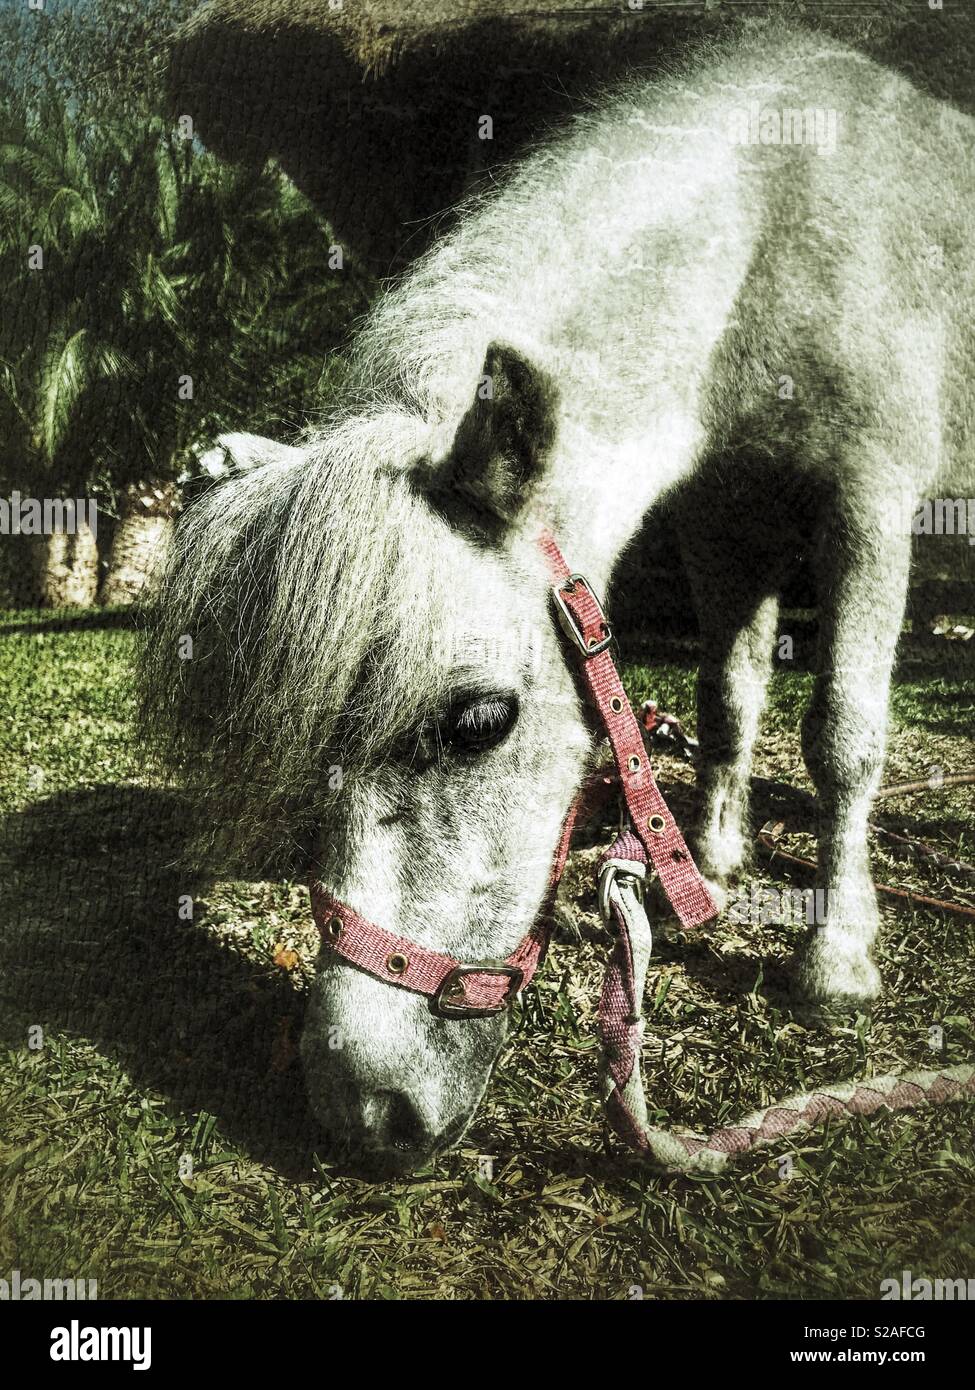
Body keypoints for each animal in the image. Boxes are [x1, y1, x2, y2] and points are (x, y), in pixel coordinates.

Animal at [145, 23, 975, 1177]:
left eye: (478, 721)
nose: (363, 1113)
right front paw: (708, 859)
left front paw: (838, 954)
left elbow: (841, 734)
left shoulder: (868, 498)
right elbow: (729, 698)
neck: (779, 226)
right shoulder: (725, 519)